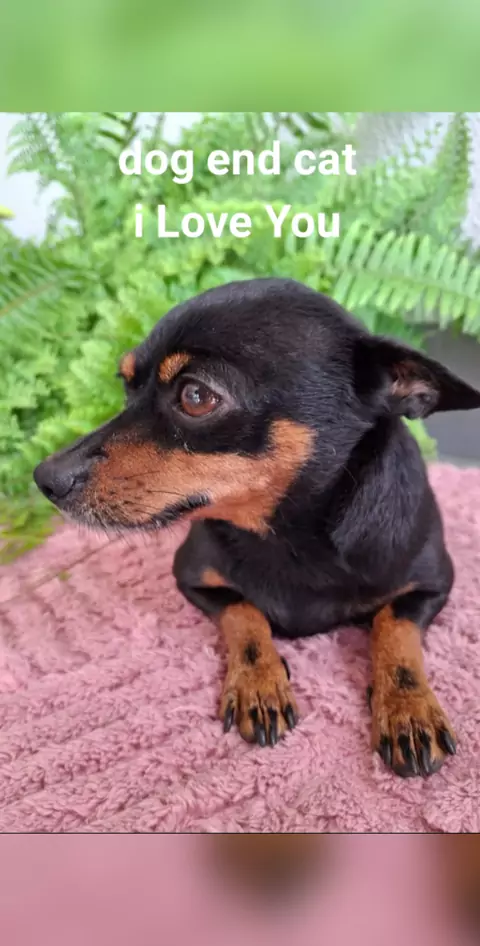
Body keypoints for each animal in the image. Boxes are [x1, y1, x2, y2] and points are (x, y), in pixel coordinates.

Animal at [33, 278, 480, 778]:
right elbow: (245, 615)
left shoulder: (433, 584)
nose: (45, 477)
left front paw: (408, 709)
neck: (286, 535)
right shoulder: (193, 578)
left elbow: (395, 628)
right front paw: (259, 684)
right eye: (125, 385)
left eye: (195, 396)